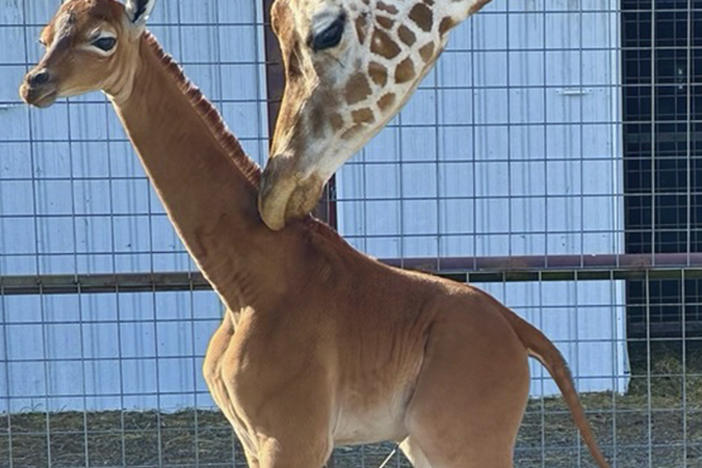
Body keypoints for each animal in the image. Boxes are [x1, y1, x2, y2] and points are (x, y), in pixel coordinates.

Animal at [20, 0, 612, 468]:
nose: (34, 84)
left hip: (463, 438)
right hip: (424, 442)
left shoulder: (292, 436)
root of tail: (518, 330)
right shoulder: (254, 440)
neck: (245, 283)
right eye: (45, 35)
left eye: (103, 39)